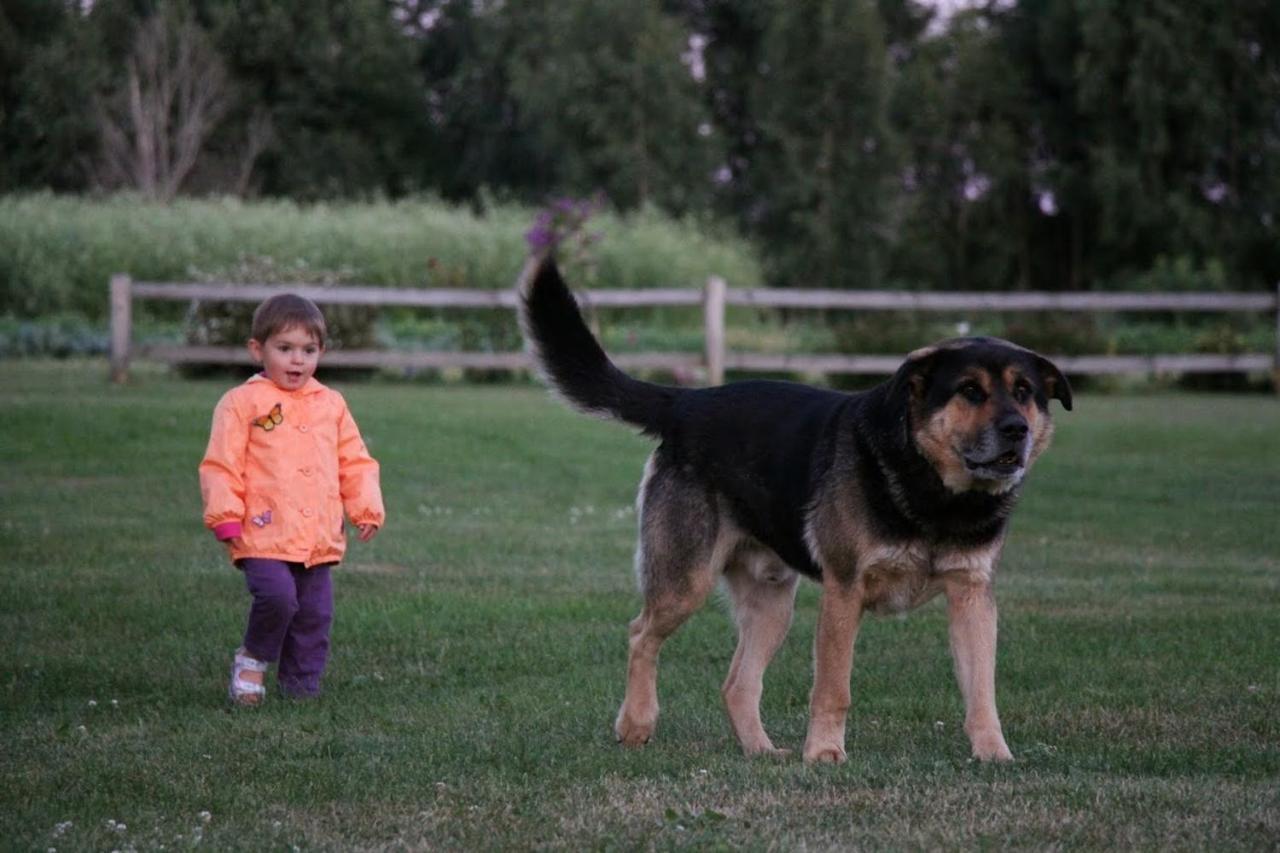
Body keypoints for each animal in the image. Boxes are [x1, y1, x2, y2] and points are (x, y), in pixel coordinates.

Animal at [517, 256, 1070, 758]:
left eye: (1024, 392)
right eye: (970, 391)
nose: (1017, 430)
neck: (933, 489)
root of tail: (686, 402)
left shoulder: (972, 597)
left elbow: (982, 691)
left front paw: (994, 753)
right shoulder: (845, 592)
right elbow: (834, 688)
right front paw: (824, 753)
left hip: (772, 605)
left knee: (737, 684)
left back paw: (761, 751)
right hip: (685, 581)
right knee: (640, 635)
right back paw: (636, 724)